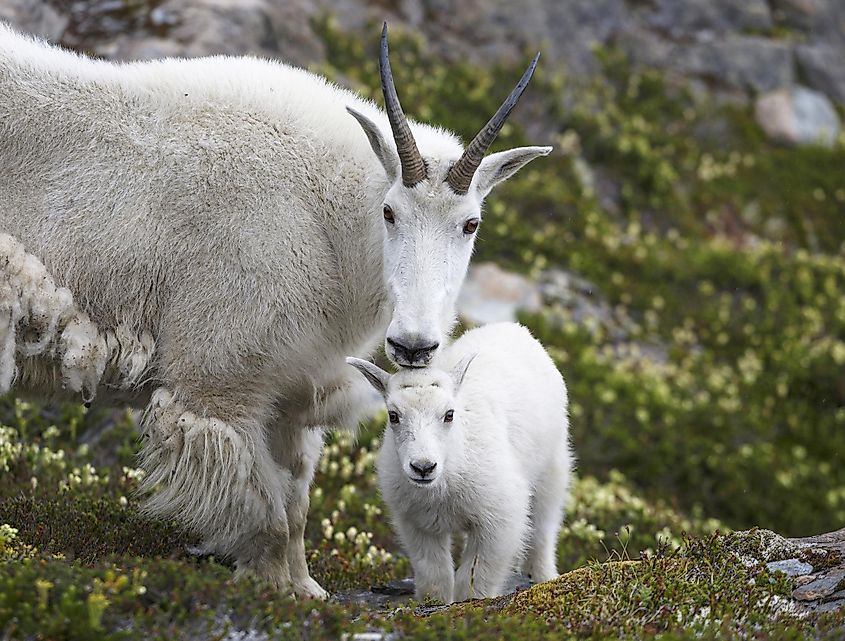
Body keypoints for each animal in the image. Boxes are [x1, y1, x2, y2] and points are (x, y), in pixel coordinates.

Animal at [0, 22, 552, 596]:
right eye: (389, 212)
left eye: (470, 223)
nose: (413, 345)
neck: (323, 217)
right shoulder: (220, 383)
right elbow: (263, 508)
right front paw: (271, 589)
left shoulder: (292, 392)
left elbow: (297, 503)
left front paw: (306, 589)